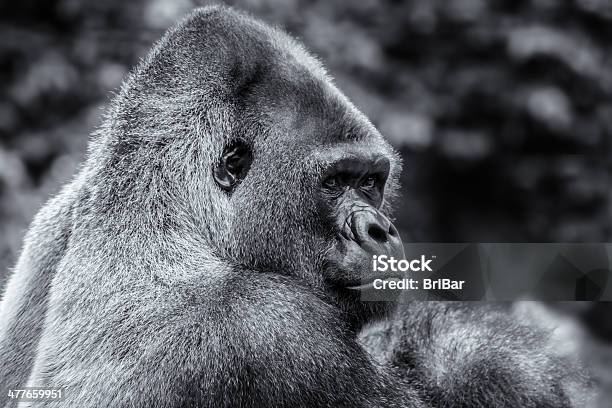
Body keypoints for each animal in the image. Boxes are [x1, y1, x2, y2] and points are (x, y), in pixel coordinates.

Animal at [0, 6, 584, 408]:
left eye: (370, 182)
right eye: (334, 183)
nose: (381, 230)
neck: (161, 207)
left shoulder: (55, 216)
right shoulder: (274, 329)